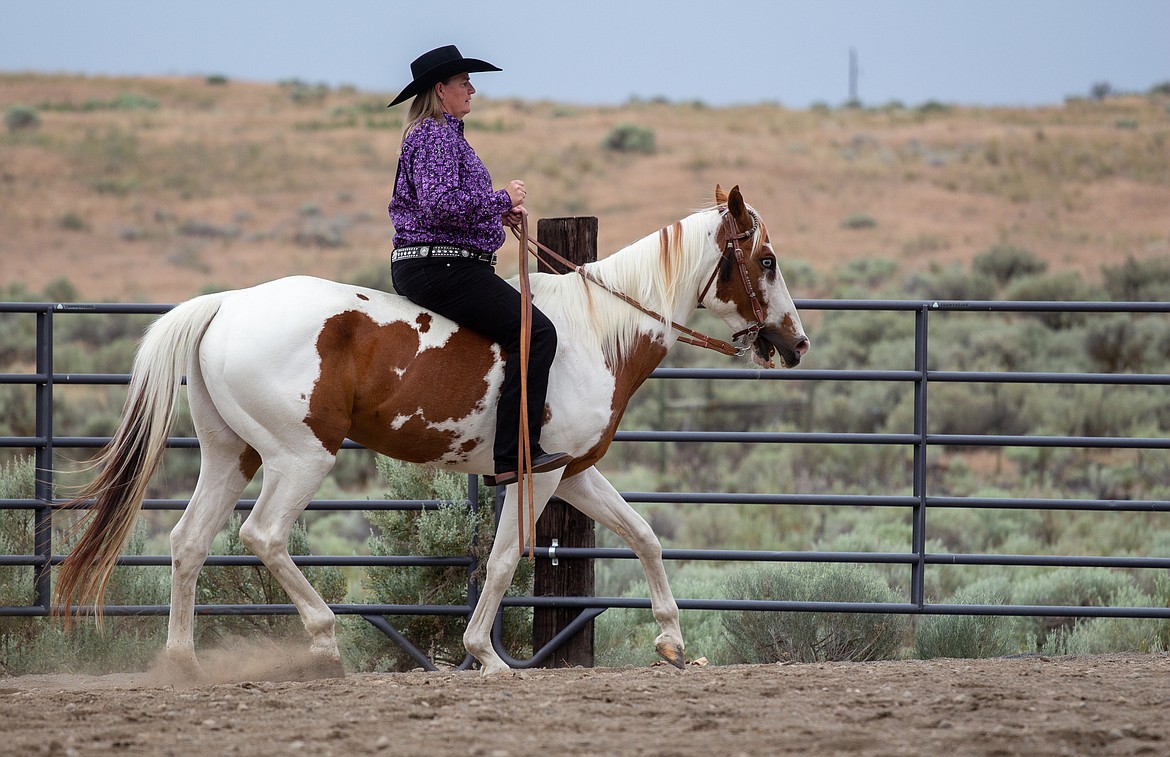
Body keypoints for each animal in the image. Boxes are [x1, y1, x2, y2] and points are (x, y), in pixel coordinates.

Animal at [54, 184, 810, 676]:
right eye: (766, 260)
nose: (796, 342)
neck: (596, 332)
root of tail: (225, 306)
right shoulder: (540, 474)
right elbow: (504, 559)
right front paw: (486, 657)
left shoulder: (575, 471)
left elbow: (644, 535)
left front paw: (673, 642)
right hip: (299, 457)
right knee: (262, 535)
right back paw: (324, 643)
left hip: (227, 454)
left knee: (188, 543)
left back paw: (181, 661)